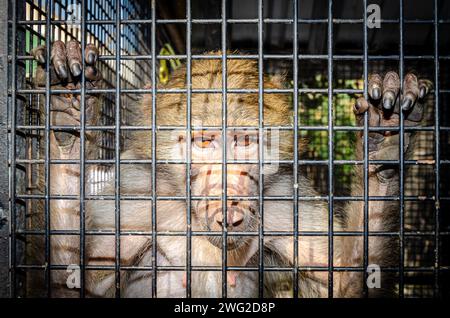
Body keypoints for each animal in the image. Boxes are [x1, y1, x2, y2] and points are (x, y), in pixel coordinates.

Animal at [29, 40, 432, 298]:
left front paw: (384, 134)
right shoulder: (134, 197)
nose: (229, 205)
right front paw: (67, 114)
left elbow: (345, 281)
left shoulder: (285, 201)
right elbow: (77, 284)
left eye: (244, 140)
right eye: (204, 141)